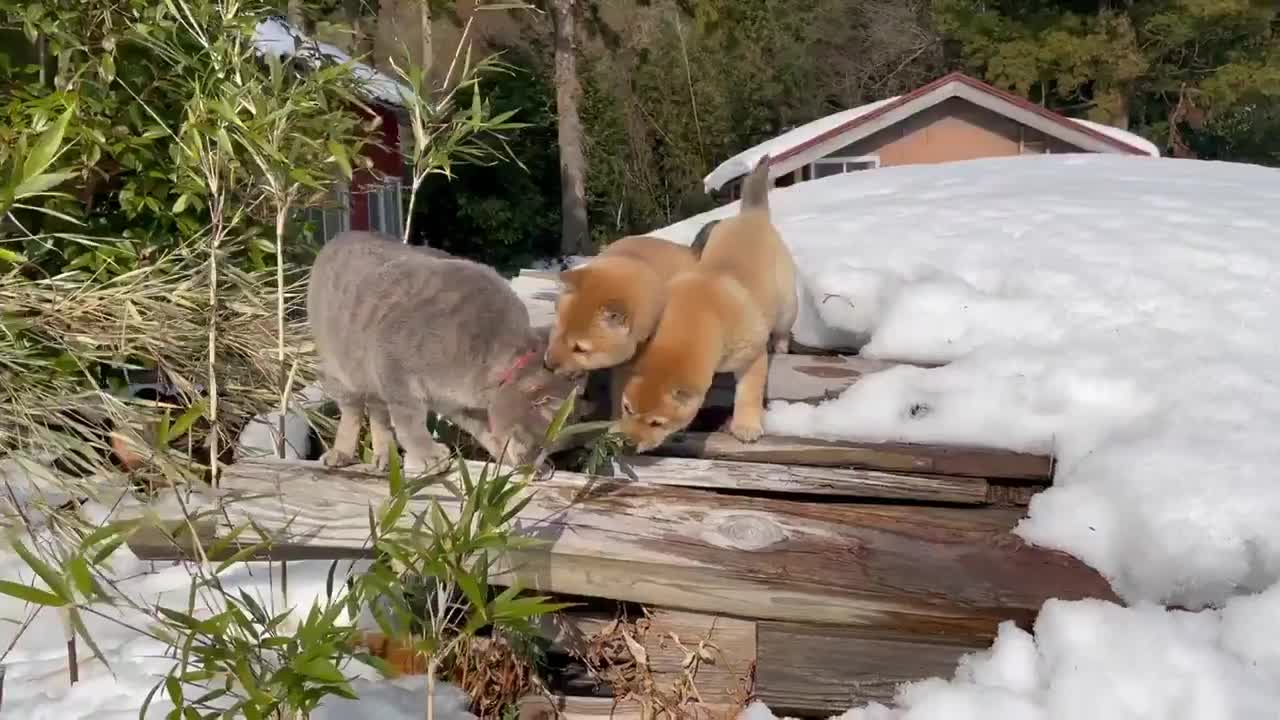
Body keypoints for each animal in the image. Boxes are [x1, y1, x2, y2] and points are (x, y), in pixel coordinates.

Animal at [307, 229, 586, 474]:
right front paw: (427, 455)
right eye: (539, 443)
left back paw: (385, 456)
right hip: (342, 371)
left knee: (377, 413)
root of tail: (342, 235)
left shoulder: (460, 404)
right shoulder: (392, 366)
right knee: (352, 410)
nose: (535, 462)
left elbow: (487, 431)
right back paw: (342, 452)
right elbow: (410, 421)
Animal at [614, 155, 793, 448]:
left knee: (783, 328)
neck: (695, 312)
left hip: (788, 305)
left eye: (656, 423)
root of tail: (752, 216)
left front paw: (746, 426)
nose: (629, 442)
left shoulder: (752, 357)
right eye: (627, 408)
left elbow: (748, 394)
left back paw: (780, 345)